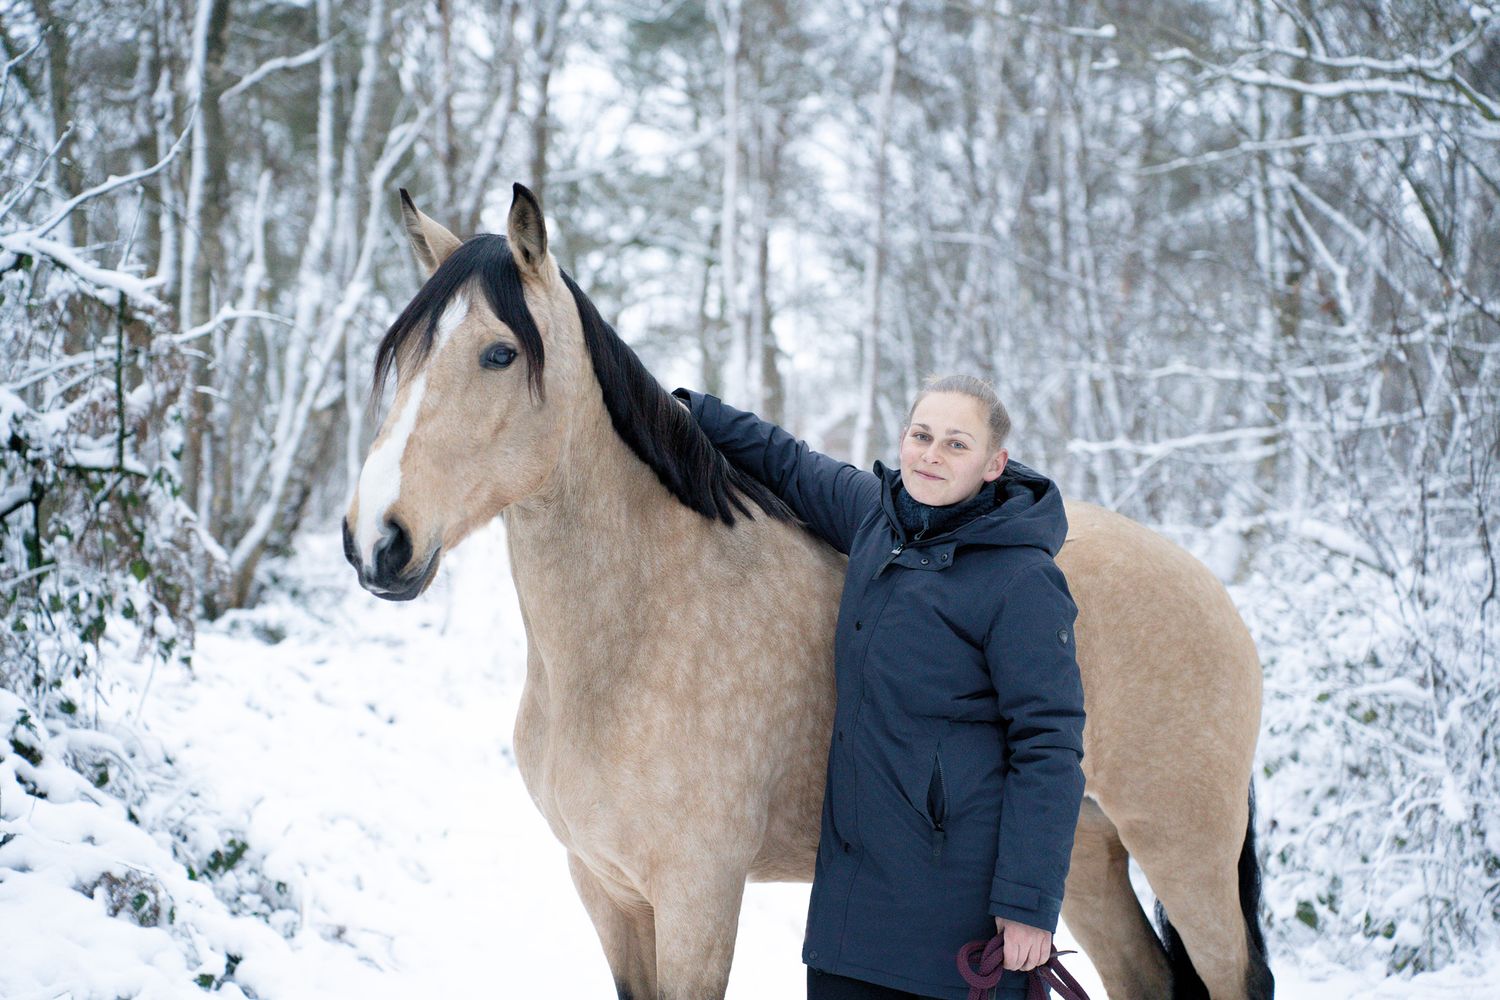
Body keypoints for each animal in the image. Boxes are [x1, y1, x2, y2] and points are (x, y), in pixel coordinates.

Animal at [341, 183, 1274, 1000]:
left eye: (499, 353)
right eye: (405, 354)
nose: (375, 539)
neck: (638, 637)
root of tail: (1215, 595)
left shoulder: (698, 897)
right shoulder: (606, 890)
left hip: (1185, 856)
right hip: (1078, 858)